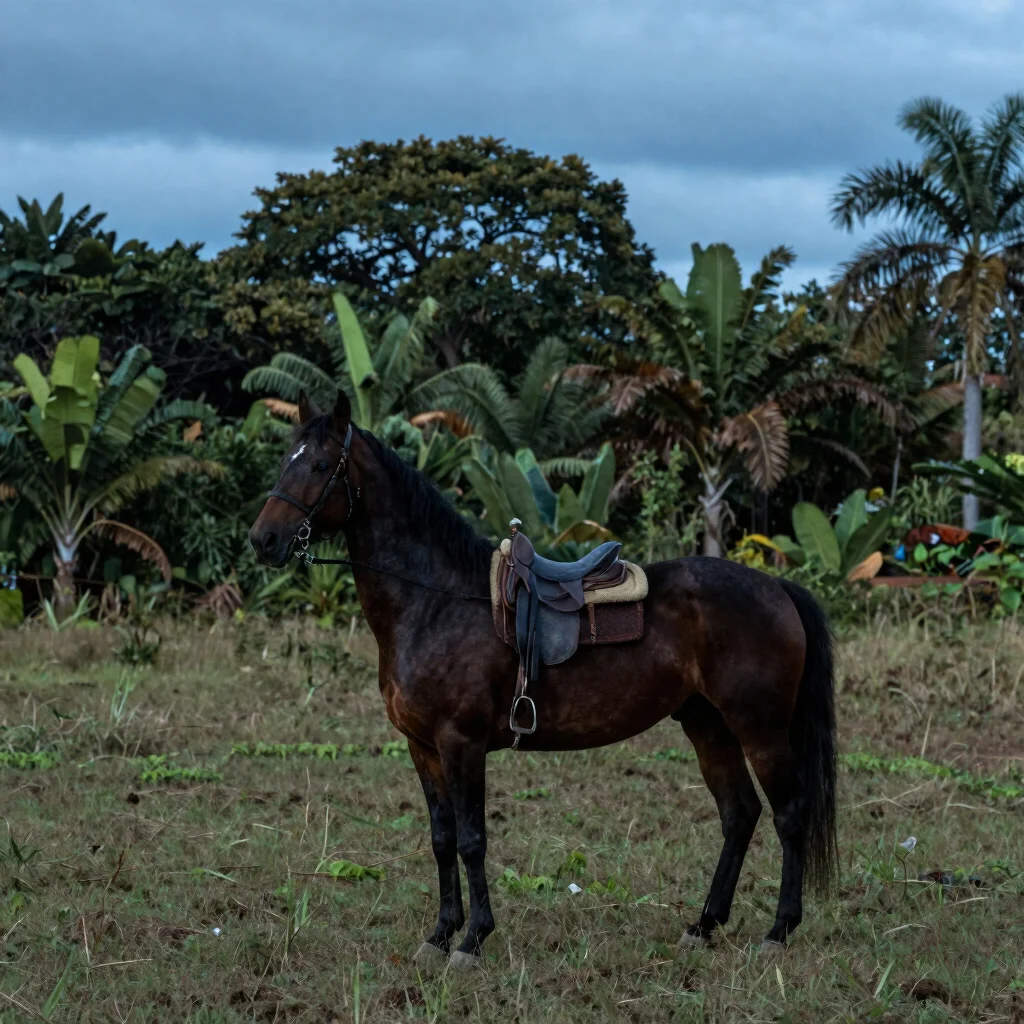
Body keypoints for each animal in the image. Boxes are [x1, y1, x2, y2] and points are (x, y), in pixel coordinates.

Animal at [248, 390, 838, 969]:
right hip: (706, 723)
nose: (263, 540)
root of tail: (777, 588)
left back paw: (779, 930)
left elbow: (471, 840)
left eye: (320, 465)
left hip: (759, 727)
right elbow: (441, 839)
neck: (434, 601)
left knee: (788, 814)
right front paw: (439, 935)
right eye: (283, 462)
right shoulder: (423, 748)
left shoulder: (461, 743)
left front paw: (472, 940)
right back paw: (704, 924)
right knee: (739, 813)